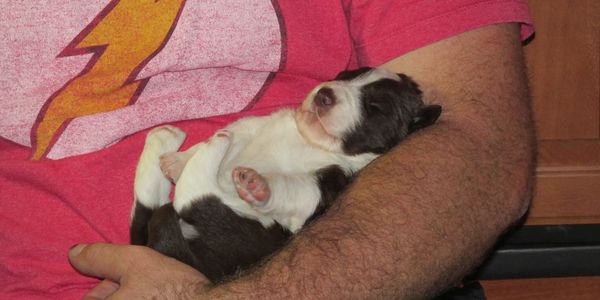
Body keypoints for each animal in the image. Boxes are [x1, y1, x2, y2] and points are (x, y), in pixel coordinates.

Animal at [130, 67, 440, 282]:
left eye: (375, 108)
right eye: (345, 76)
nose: (324, 93)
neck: (307, 140)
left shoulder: (323, 188)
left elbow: (293, 187)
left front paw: (258, 184)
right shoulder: (256, 126)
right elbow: (241, 129)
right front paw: (178, 160)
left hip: (247, 228)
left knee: (193, 193)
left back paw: (207, 143)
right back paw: (168, 139)